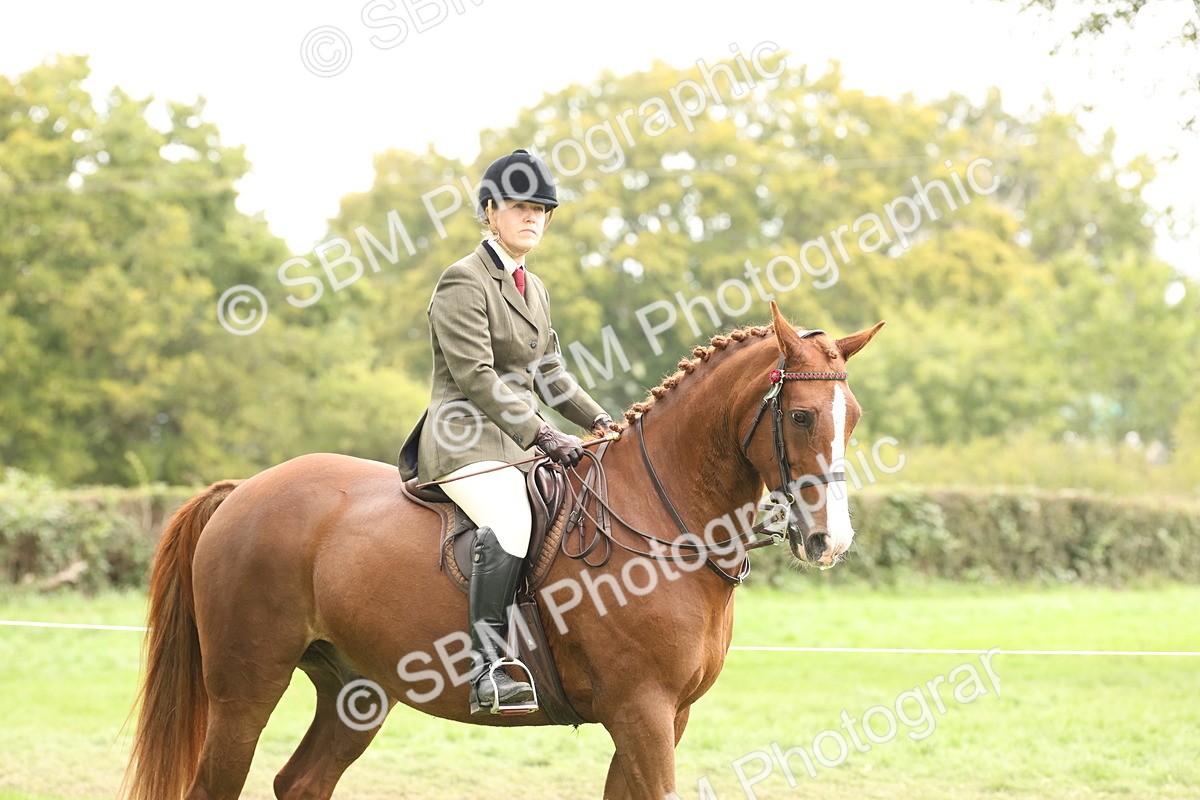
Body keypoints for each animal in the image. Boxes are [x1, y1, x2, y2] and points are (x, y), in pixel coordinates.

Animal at [121, 301, 884, 799]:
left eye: (852, 419)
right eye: (801, 416)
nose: (830, 540)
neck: (659, 520)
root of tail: (244, 491)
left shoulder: (666, 715)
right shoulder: (642, 710)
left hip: (356, 691)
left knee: (302, 782)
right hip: (246, 687)